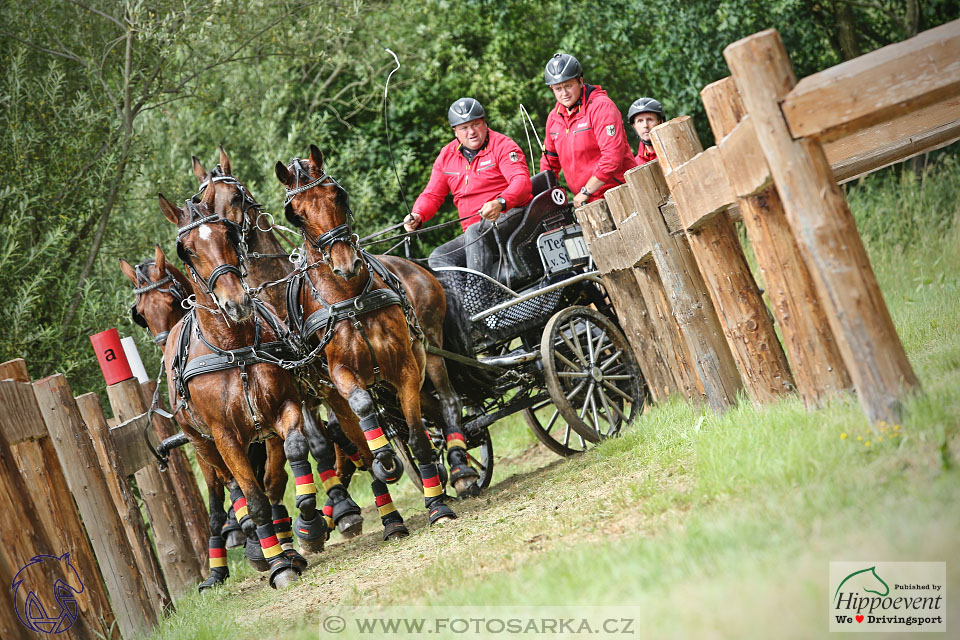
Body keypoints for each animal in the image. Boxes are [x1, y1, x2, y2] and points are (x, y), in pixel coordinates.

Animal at [158, 188, 322, 588]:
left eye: (227, 235)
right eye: (186, 250)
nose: (236, 302)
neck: (235, 348)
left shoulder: (283, 411)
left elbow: (280, 475)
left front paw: (304, 531)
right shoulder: (225, 436)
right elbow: (253, 496)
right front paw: (277, 564)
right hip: (201, 444)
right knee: (227, 487)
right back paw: (246, 546)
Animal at [276, 144, 474, 524]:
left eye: (338, 194)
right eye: (297, 215)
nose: (346, 264)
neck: (352, 299)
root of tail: (413, 263)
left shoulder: (406, 366)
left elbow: (418, 437)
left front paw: (437, 505)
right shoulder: (340, 375)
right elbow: (363, 406)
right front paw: (385, 457)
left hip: (431, 349)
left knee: (448, 402)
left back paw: (460, 468)